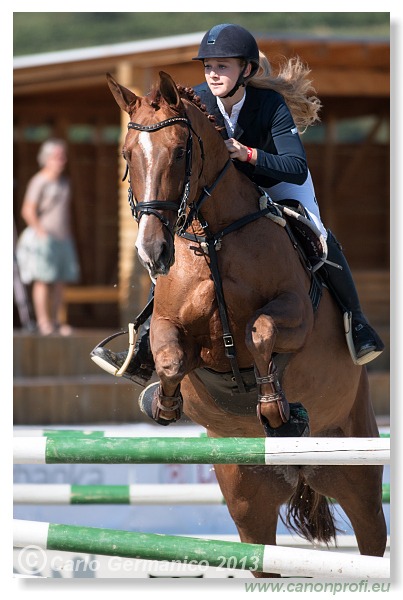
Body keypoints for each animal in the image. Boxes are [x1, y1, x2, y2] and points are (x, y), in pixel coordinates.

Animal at [105, 70, 386, 576]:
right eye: (127, 154)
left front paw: (276, 407)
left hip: (356, 468)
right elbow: (171, 358)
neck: (212, 236)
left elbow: (260, 333)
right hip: (247, 496)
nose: (153, 252)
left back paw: (292, 420)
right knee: (262, 552)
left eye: (182, 151)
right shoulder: (171, 325)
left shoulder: (295, 312)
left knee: (372, 536)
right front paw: (163, 404)